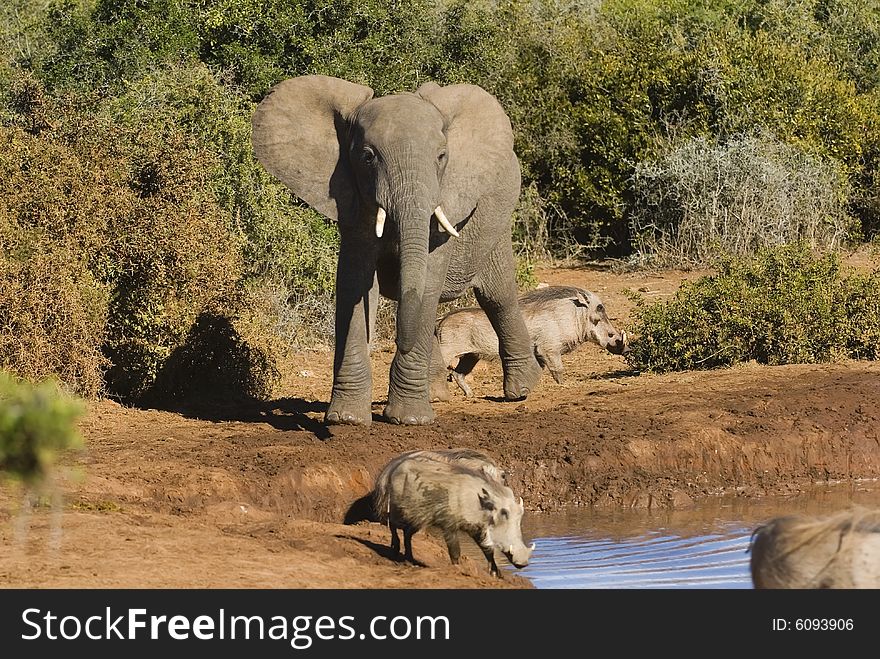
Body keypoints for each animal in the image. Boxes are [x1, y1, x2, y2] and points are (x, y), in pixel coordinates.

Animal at [251, 76, 540, 428]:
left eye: (442, 156)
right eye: (367, 157)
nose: (399, 344)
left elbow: (427, 281)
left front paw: (409, 420)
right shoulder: (352, 200)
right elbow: (355, 284)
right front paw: (347, 419)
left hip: (497, 216)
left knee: (497, 295)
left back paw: (522, 391)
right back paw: (437, 394)